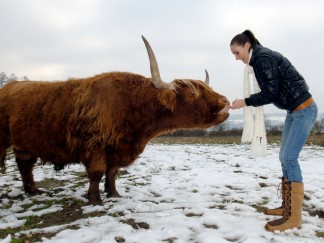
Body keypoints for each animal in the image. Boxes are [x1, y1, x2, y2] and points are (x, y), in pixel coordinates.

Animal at [0, 36, 229, 204]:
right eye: (192, 94)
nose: (225, 101)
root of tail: (9, 86)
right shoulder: (95, 145)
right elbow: (97, 173)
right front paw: (95, 200)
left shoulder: (117, 148)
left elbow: (112, 172)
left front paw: (113, 194)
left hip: (25, 143)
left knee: (25, 165)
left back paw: (33, 190)